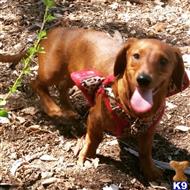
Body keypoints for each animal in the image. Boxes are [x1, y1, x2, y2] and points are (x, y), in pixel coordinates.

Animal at [0, 27, 185, 180]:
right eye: (136, 56)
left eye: (163, 61)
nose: (143, 79)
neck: (131, 112)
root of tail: (53, 31)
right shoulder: (95, 119)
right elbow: (94, 139)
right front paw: (86, 156)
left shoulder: (149, 129)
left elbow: (146, 151)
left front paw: (149, 170)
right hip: (51, 71)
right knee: (36, 84)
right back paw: (53, 109)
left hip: (73, 74)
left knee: (61, 87)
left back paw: (68, 110)